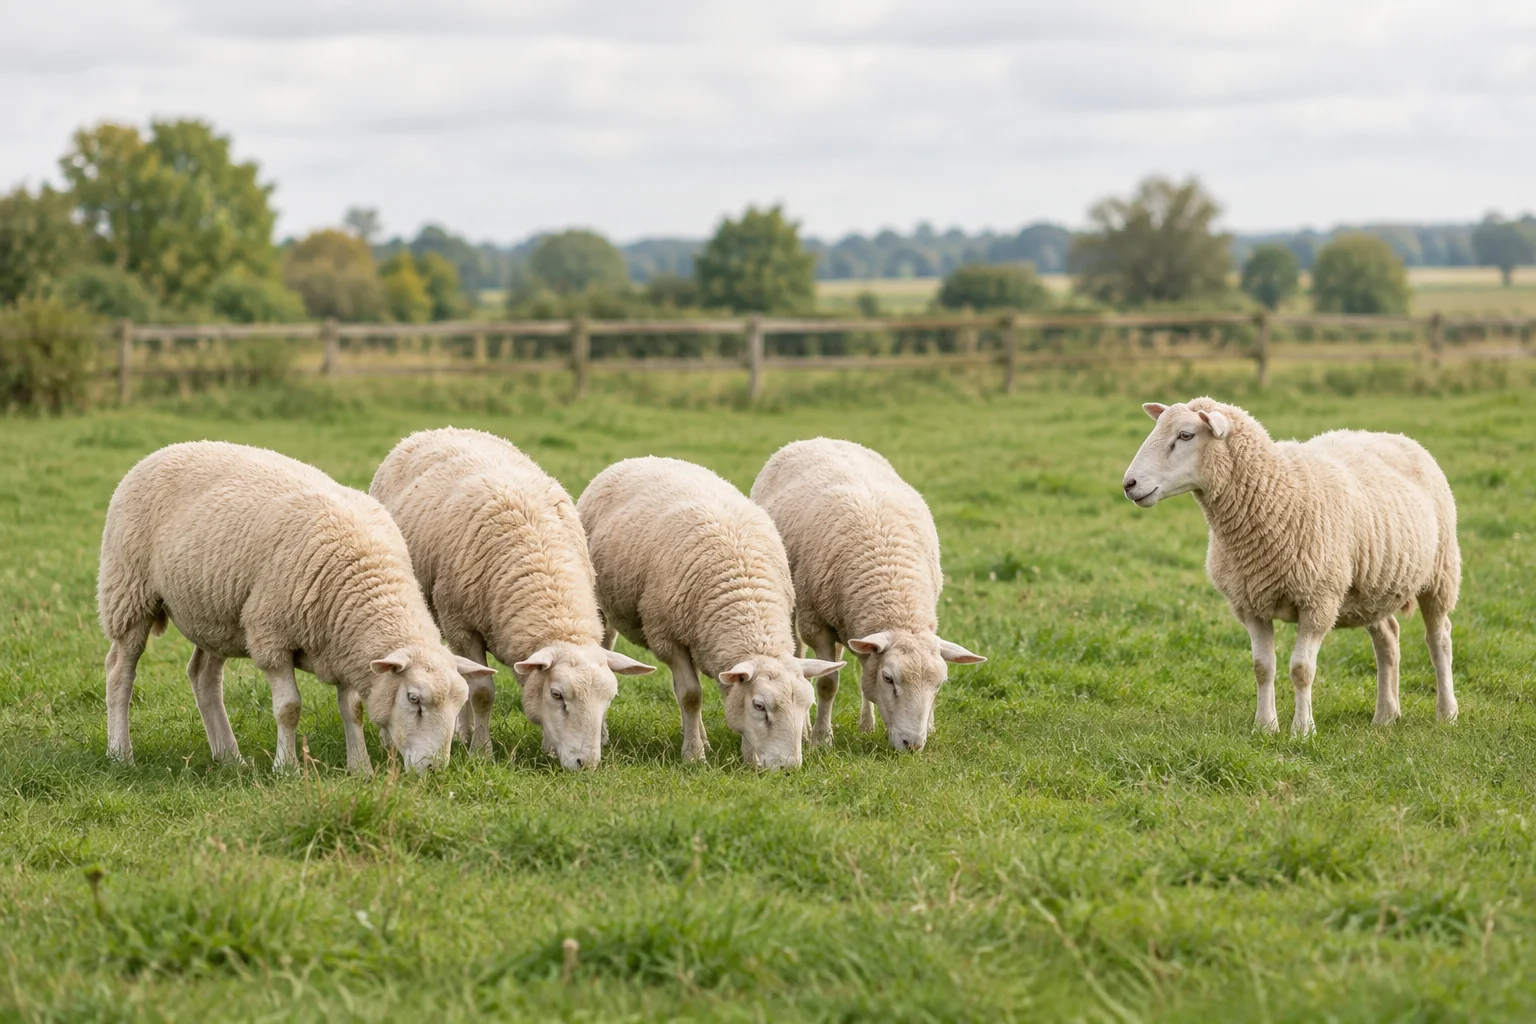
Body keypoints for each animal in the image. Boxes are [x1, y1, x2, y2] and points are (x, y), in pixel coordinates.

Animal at [98, 441, 490, 772]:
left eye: (460, 703)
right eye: (414, 699)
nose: (434, 770)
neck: (367, 579)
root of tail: (167, 449)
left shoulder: (343, 646)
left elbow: (353, 710)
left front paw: (360, 768)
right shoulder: (271, 638)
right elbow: (288, 708)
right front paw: (285, 768)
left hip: (216, 612)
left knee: (203, 675)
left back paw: (229, 757)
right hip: (129, 591)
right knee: (120, 670)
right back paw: (121, 753)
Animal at [369, 428, 654, 770]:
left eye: (609, 699)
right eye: (557, 695)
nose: (585, 764)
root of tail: (438, 430)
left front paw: (548, 748)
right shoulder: (462, 626)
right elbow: (481, 692)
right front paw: (482, 752)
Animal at [576, 457, 844, 768]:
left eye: (806, 705)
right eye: (759, 706)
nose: (787, 768)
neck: (745, 595)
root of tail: (642, 458)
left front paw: (741, 753)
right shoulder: (667, 639)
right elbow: (691, 696)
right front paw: (694, 755)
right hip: (599, 605)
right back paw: (606, 735)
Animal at [750, 438, 985, 752]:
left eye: (939, 684)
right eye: (889, 679)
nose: (912, 745)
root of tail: (819, 438)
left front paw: (928, 726)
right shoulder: (817, 625)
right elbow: (828, 683)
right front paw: (821, 739)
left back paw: (866, 725)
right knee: (799, 653)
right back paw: (807, 728)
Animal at [1122, 398, 1460, 736]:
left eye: (1186, 435)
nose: (1128, 484)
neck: (1278, 490)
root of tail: (1395, 436)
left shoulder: (1319, 601)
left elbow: (1301, 669)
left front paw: (1303, 730)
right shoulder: (1250, 604)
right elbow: (1262, 667)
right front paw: (1265, 726)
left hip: (1440, 572)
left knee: (1439, 638)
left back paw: (1447, 712)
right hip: (1372, 587)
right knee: (1388, 637)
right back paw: (1386, 715)